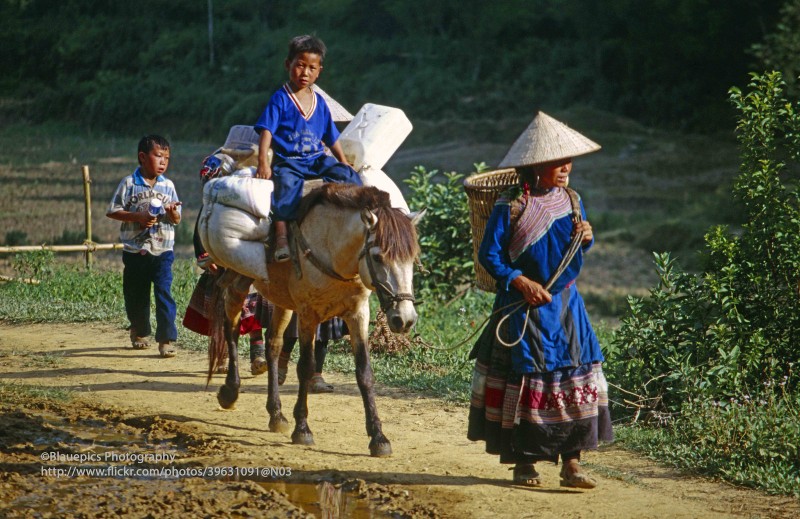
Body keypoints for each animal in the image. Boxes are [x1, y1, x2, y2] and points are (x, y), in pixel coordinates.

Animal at [203, 181, 422, 458]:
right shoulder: (308, 314)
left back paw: (276, 414)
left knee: (273, 345)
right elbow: (305, 368)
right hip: (239, 279)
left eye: (411, 258)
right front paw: (303, 428)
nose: (404, 319)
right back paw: (230, 391)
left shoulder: (358, 314)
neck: (333, 250)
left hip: (280, 298)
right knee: (231, 325)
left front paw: (378, 437)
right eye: (377, 256)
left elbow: (364, 372)